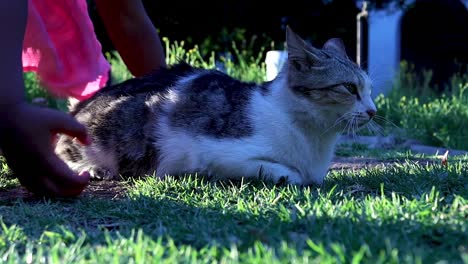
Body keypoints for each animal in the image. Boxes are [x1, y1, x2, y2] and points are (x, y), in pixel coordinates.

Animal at [55, 27, 376, 186]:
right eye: (350, 88)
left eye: (370, 89)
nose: (373, 111)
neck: (314, 138)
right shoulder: (216, 154)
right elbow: (291, 174)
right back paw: (94, 168)